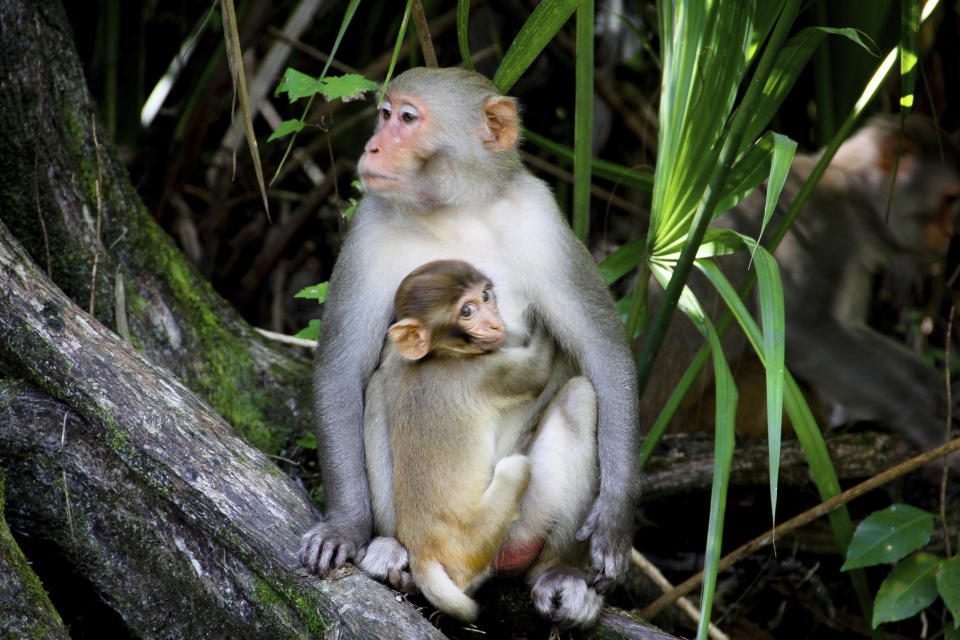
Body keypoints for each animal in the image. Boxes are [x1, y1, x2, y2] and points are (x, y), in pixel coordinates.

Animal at [296, 67, 632, 628]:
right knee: (383, 385)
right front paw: (345, 526)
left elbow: (603, 355)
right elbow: (342, 372)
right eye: (385, 114)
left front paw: (615, 518)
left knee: (582, 400)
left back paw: (559, 572)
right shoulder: (368, 226)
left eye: (408, 119)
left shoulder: (541, 218)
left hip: (518, 526)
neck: (454, 209)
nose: (373, 146)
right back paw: (394, 548)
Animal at [640, 112, 960, 452]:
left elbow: (850, 328)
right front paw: (921, 420)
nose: (950, 234)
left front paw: (937, 387)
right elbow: (801, 330)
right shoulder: (822, 223)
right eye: (948, 199)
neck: (855, 194)